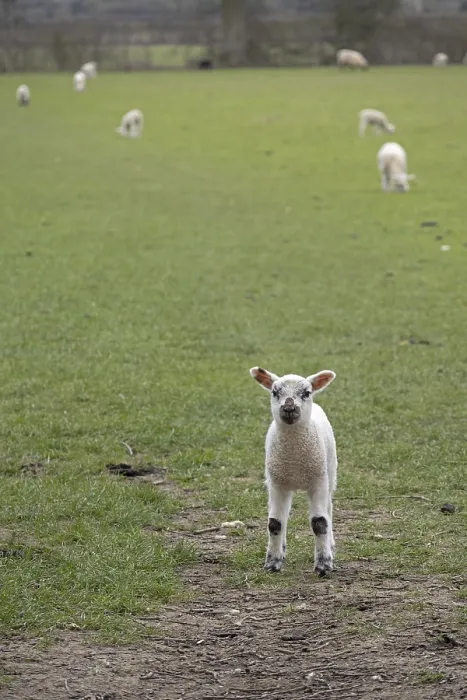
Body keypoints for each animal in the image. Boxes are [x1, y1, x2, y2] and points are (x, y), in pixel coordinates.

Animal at [250, 367, 337, 576]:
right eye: (274, 392)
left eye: (306, 393)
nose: (289, 409)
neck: (294, 460)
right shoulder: (277, 483)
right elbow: (275, 523)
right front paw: (272, 563)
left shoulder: (318, 482)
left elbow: (320, 522)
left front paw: (323, 565)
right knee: (283, 515)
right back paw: (281, 548)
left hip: (330, 472)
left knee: (328, 508)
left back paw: (330, 545)